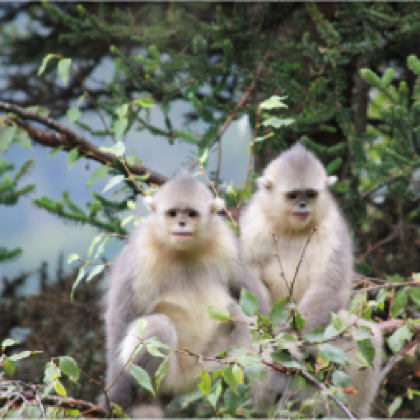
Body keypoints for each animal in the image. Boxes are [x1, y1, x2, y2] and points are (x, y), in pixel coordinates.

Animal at [104, 168, 268, 416]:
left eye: (191, 214)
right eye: (172, 214)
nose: (181, 223)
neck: (182, 252)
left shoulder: (226, 244)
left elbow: (253, 301)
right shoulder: (139, 255)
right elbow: (121, 319)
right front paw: (115, 399)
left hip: (204, 370)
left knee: (240, 315)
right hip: (168, 377)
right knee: (157, 327)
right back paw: (145, 402)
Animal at [240, 144, 380, 416]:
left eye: (311, 194)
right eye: (294, 195)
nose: (303, 205)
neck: (292, 229)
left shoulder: (333, 227)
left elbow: (330, 286)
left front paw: (290, 342)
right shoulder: (254, 224)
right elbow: (247, 280)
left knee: (366, 335)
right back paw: (266, 395)